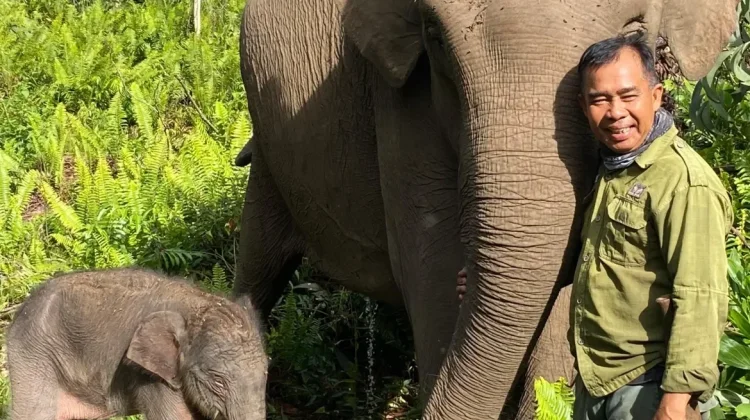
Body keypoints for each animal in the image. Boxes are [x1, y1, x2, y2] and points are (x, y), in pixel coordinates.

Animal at [231, 0, 738, 418]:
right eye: (433, 34)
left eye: (635, 30)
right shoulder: (399, 103)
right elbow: (431, 270)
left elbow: (568, 288)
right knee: (258, 266)